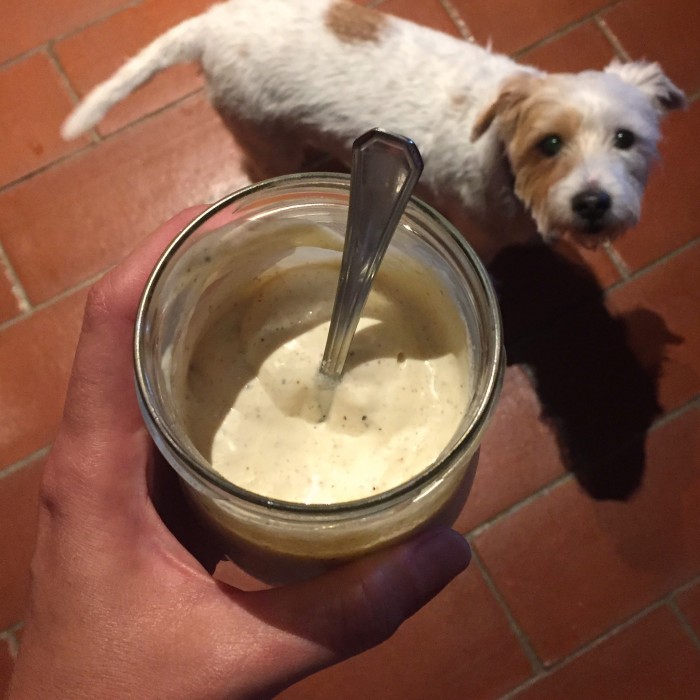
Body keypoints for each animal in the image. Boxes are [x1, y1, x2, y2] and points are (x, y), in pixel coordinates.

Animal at [60, 0, 684, 262]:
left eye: (626, 139)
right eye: (548, 144)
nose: (593, 204)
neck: (501, 161)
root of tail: (211, 24)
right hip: (263, 133)